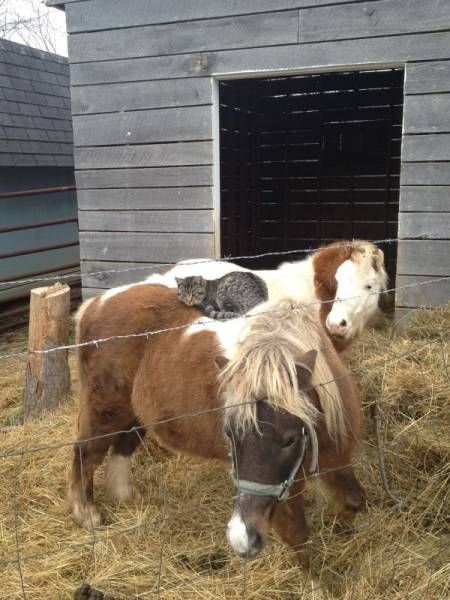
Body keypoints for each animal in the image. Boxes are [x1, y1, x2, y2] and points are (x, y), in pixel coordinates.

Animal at [70, 284, 366, 576]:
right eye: (229, 435)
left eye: (290, 440)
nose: (241, 539)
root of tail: (95, 304)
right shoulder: (286, 488)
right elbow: (298, 537)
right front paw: (316, 582)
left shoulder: (335, 459)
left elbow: (354, 500)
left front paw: (340, 529)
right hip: (106, 412)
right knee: (86, 453)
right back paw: (87, 515)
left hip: (135, 415)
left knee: (122, 449)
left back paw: (126, 498)